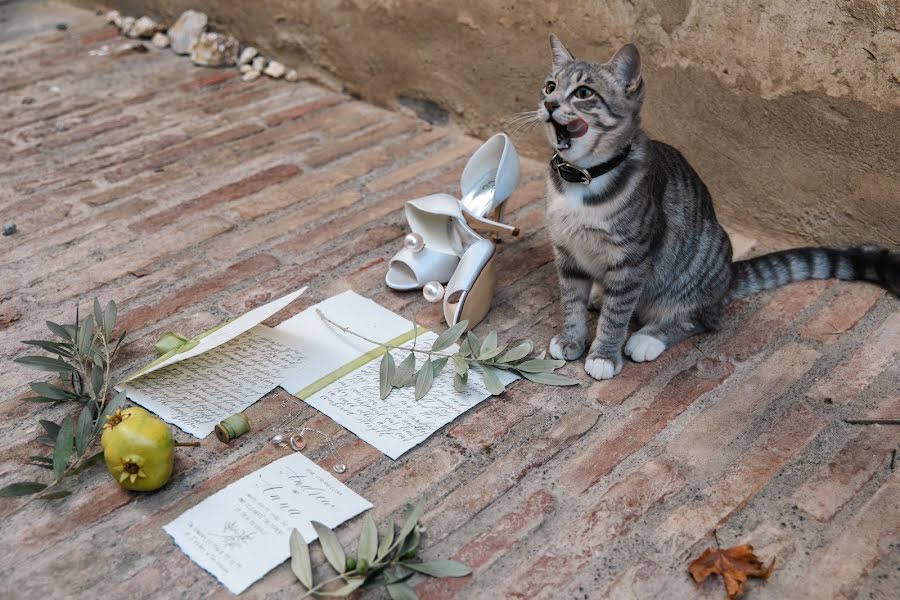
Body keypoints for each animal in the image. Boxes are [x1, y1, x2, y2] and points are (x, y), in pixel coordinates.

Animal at [540, 34, 900, 380]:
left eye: (583, 93)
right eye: (550, 86)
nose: (548, 103)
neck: (583, 177)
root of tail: (727, 277)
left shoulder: (631, 262)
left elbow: (617, 316)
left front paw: (603, 356)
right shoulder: (567, 254)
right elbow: (571, 303)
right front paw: (572, 339)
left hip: (698, 262)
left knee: (700, 318)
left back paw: (648, 337)